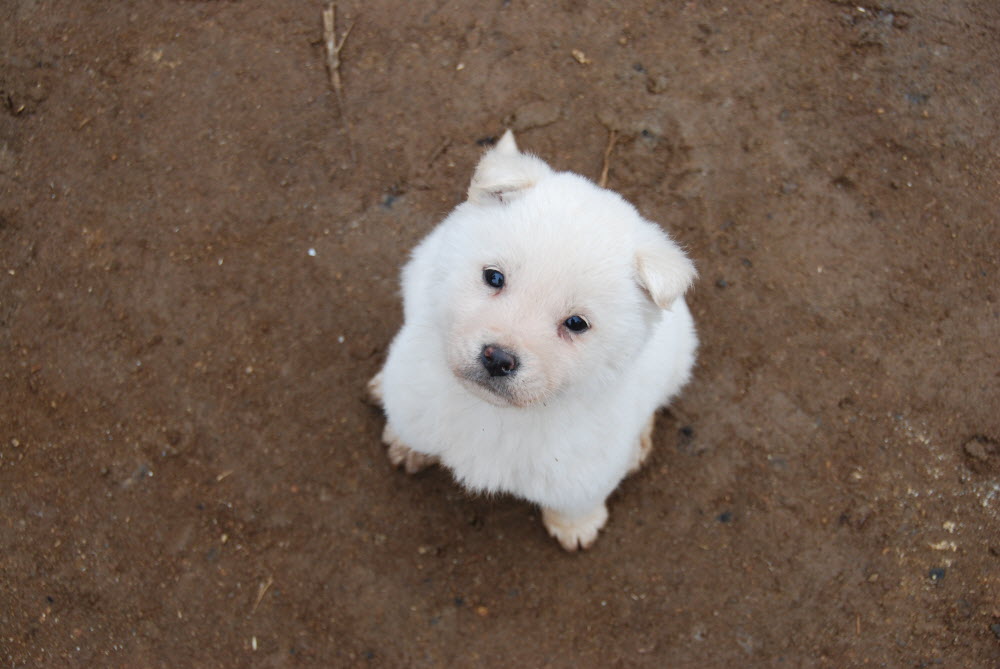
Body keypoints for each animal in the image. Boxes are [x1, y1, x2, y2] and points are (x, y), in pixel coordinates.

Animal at [368, 130, 696, 548]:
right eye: (493, 277)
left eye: (576, 323)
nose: (497, 358)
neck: (494, 414)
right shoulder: (415, 393)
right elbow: (412, 421)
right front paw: (405, 443)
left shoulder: (583, 466)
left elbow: (577, 499)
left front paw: (576, 527)